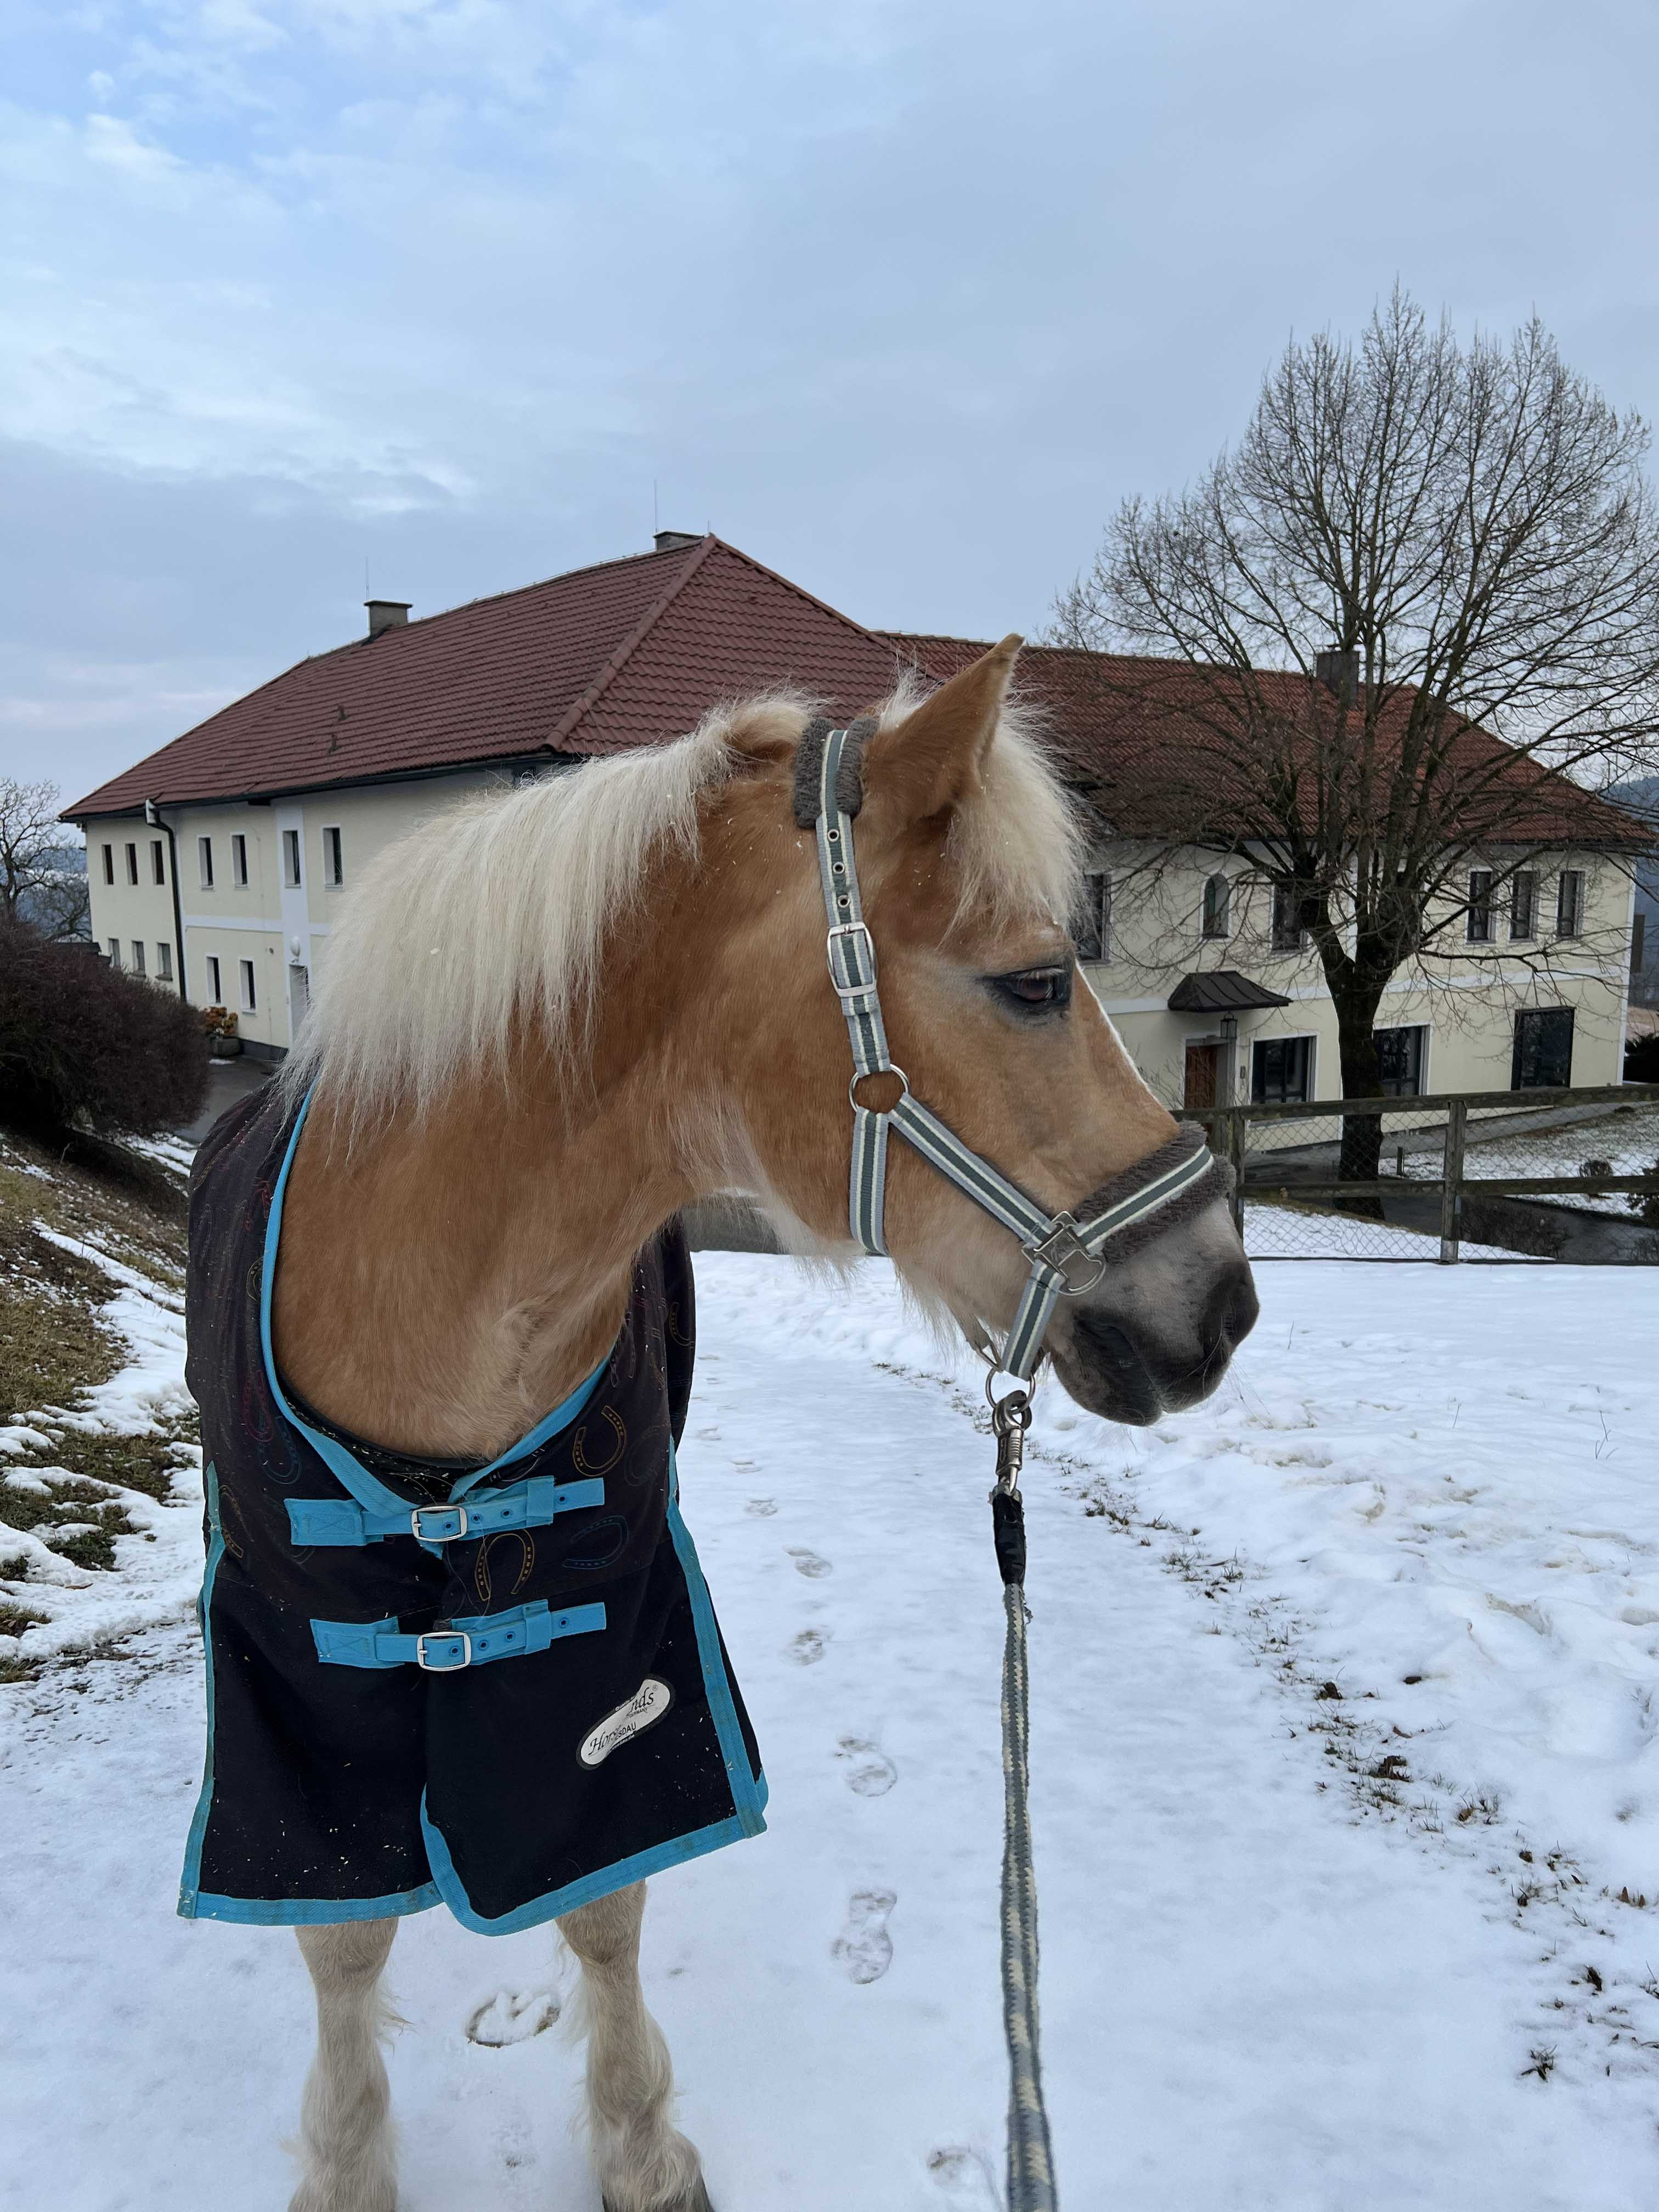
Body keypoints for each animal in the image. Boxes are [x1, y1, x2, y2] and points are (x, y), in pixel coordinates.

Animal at [195, 636, 1256, 2212]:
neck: (427, 1319)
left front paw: (639, 2149)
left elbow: (605, 1907)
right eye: (1034, 983)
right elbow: (341, 1932)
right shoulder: (296, 1668)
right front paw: (343, 2164)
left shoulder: (609, 1640)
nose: (1221, 1303)